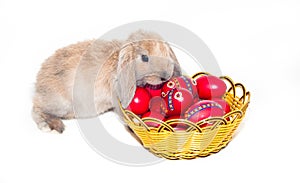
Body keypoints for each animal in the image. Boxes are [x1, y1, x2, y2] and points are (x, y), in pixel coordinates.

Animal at [32, 30, 183, 133]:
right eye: (145, 57)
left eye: (166, 53)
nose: (165, 76)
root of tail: (37, 87)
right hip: (60, 103)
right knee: (36, 109)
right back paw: (50, 125)